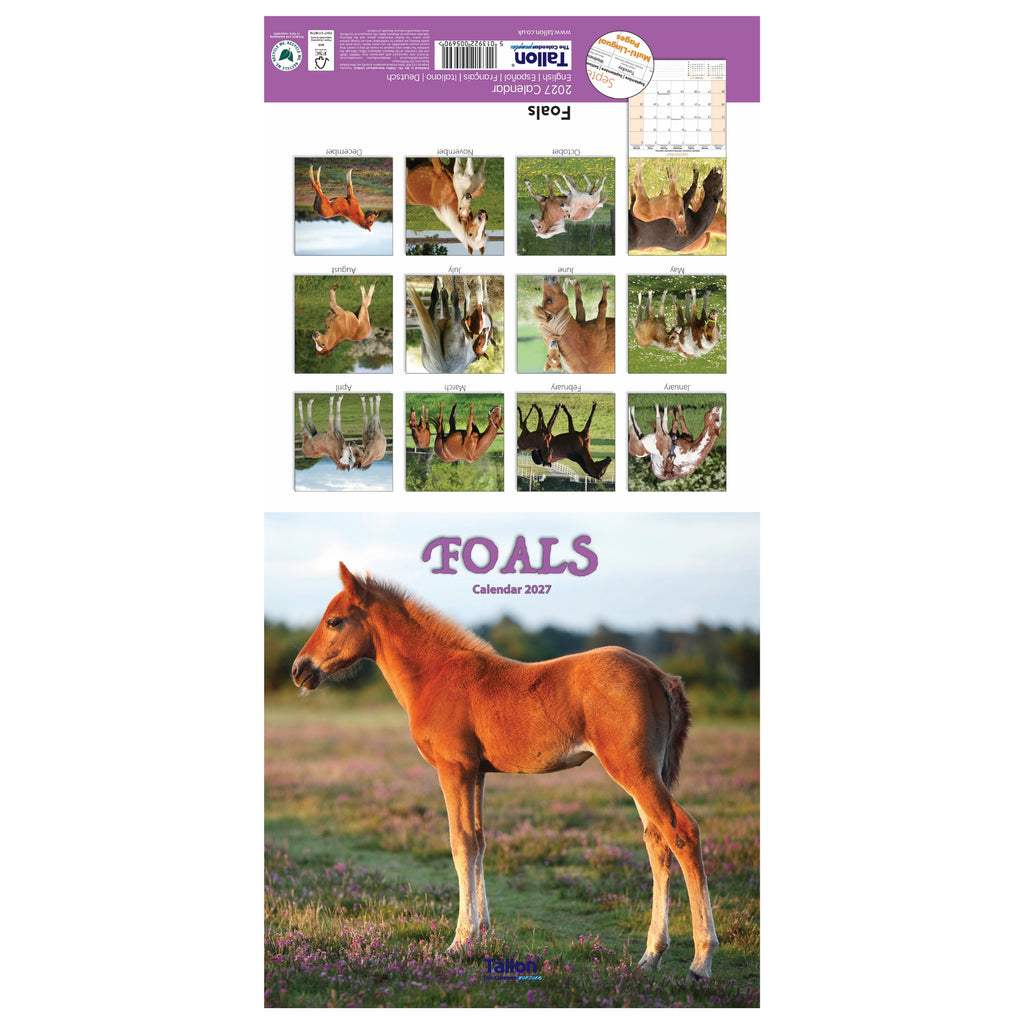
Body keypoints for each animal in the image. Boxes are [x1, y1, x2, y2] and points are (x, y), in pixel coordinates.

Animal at [291, 563, 720, 978]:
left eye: (334, 621)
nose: (299, 670)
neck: (435, 674)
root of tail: (659, 676)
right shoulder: (477, 772)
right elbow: (479, 842)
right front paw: (482, 934)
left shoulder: (454, 769)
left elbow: (461, 843)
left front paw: (460, 941)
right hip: (645, 772)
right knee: (657, 841)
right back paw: (651, 955)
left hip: (633, 769)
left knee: (682, 832)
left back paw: (701, 960)